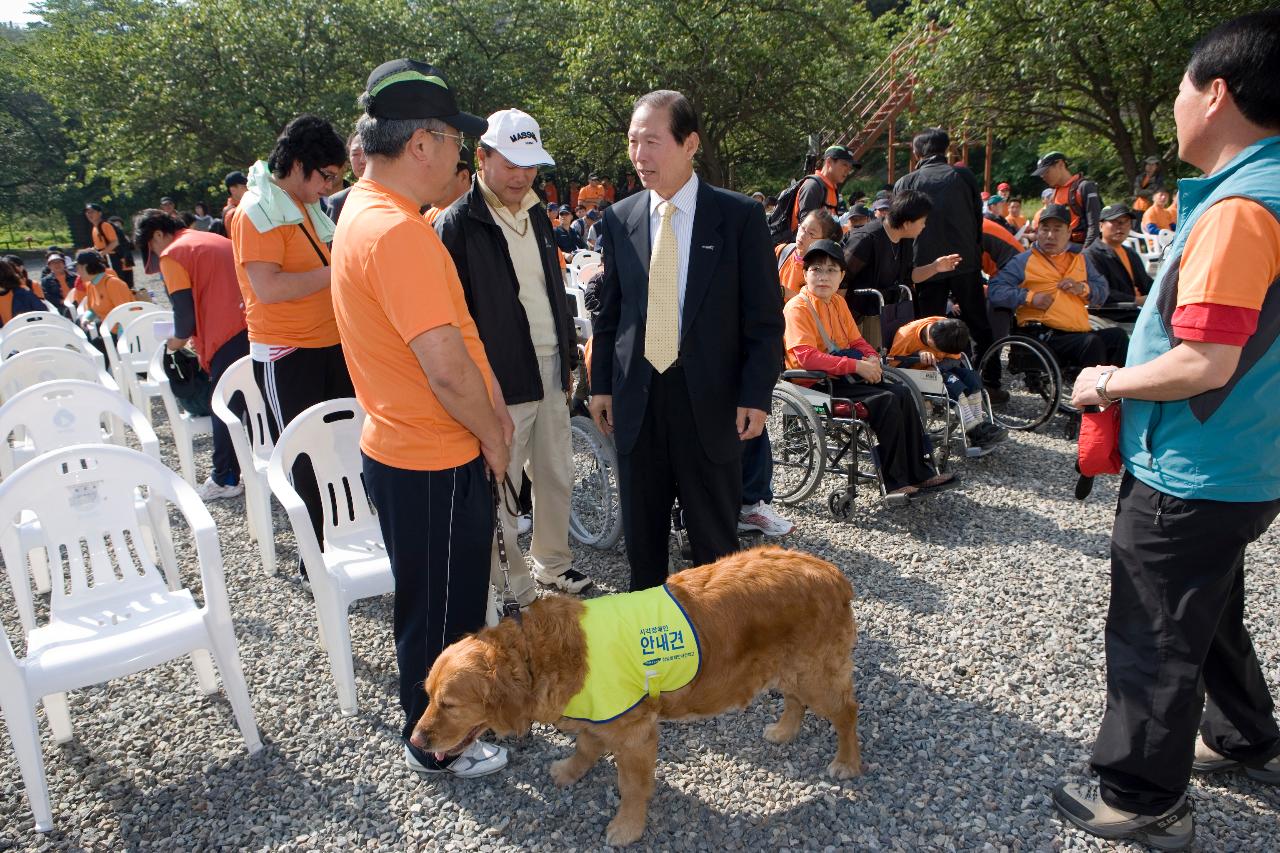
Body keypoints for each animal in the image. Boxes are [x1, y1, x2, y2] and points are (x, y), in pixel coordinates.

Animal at [412, 545, 860, 845]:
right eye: (428, 695)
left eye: (448, 704)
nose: (415, 740)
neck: (537, 654)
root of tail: (830, 571)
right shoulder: (598, 711)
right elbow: (586, 744)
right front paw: (570, 770)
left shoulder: (634, 731)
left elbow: (631, 785)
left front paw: (627, 827)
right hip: (789, 669)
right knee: (795, 700)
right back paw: (785, 731)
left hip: (816, 675)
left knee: (847, 711)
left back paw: (847, 762)